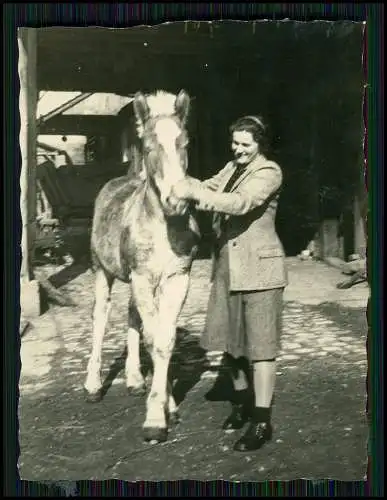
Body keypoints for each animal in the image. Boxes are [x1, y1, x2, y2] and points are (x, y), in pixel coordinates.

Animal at [83, 89, 202, 442]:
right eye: (149, 146)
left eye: (185, 143)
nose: (177, 201)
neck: (165, 227)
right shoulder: (142, 277)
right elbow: (154, 338)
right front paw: (154, 419)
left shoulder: (176, 278)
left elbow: (165, 339)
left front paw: (168, 406)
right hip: (102, 270)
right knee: (101, 316)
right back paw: (93, 385)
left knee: (132, 314)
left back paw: (135, 380)